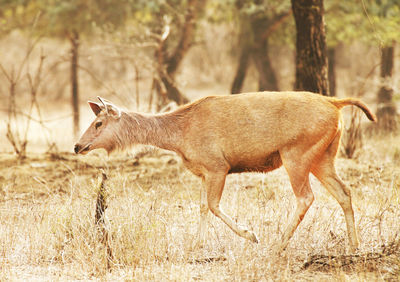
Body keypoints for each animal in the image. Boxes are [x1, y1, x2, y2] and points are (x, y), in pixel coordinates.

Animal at [74, 92, 376, 251]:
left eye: (99, 123)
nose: (78, 145)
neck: (179, 137)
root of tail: (335, 104)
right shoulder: (203, 172)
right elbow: (201, 206)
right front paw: (197, 244)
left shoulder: (218, 166)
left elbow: (213, 204)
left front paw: (250, 234)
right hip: (324, 157)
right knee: (344, 192)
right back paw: (355, 245)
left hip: (296, 154)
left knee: (306, 197)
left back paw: (277, 243)